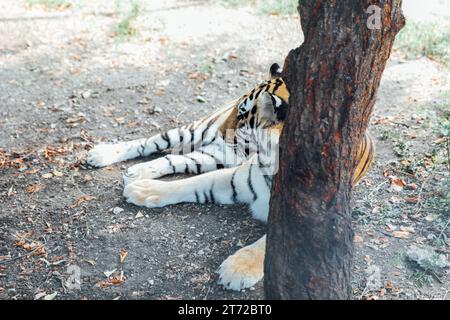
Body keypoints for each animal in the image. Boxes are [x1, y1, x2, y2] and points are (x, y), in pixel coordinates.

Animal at [86, 63, 374, 292]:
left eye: (244, 115)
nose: (220, 132)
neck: (272, 162)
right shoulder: (236, 177)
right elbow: (190, 183)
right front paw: (143, 190)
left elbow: (266, 243)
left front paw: (237, 269)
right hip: (198, 135)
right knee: (153, 142)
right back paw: (104, 155)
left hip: (215, 154)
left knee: (176, 159)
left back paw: (135, 171)